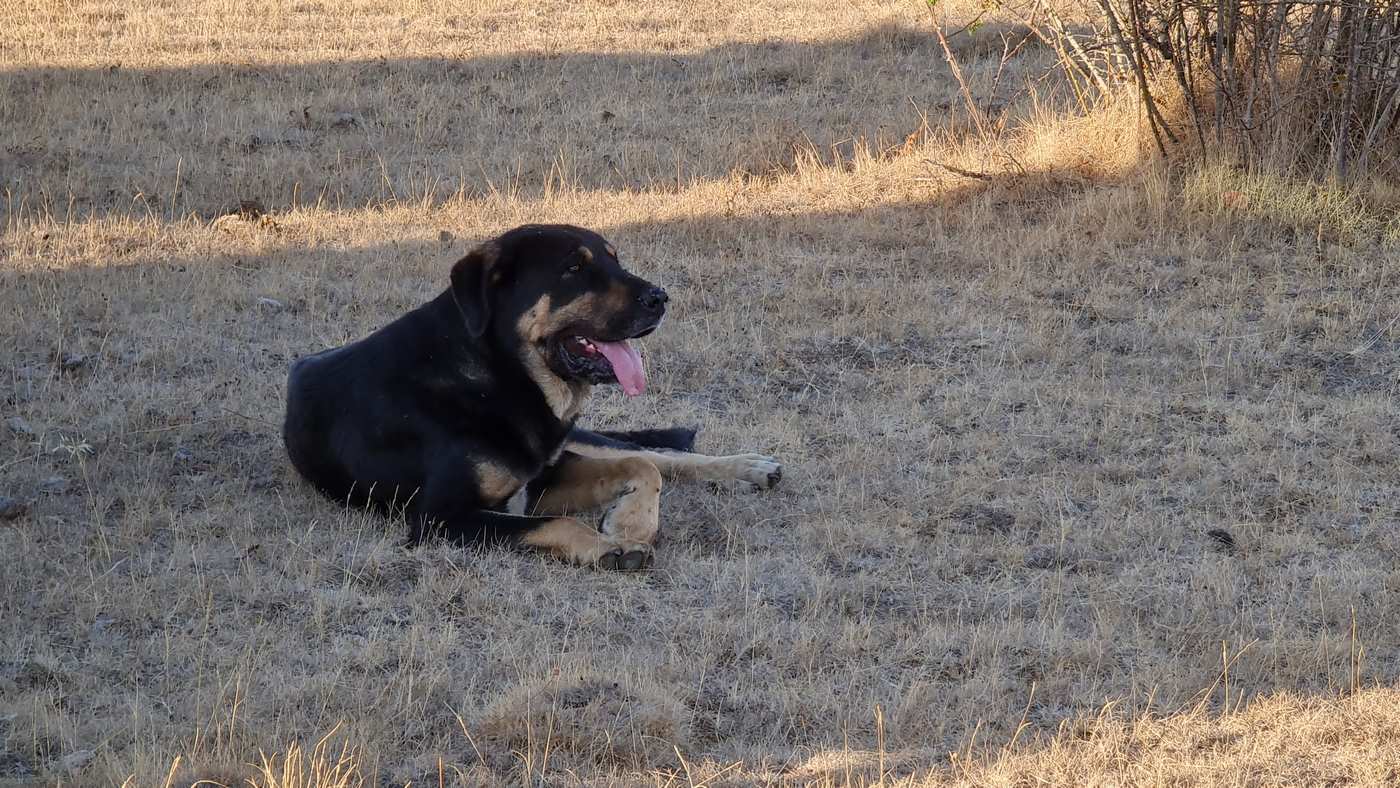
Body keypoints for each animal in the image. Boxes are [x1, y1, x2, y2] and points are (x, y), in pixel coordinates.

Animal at [281, 225, 789, 571]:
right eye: (574, 269)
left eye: (615, 260)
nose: (660, 298)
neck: (496, 372)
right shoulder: (443, 518)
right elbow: (562, 521)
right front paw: (612, 545)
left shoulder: (544, 475)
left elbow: (642, 465)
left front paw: (628, 524)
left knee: (656, 453)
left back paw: (748, 467)